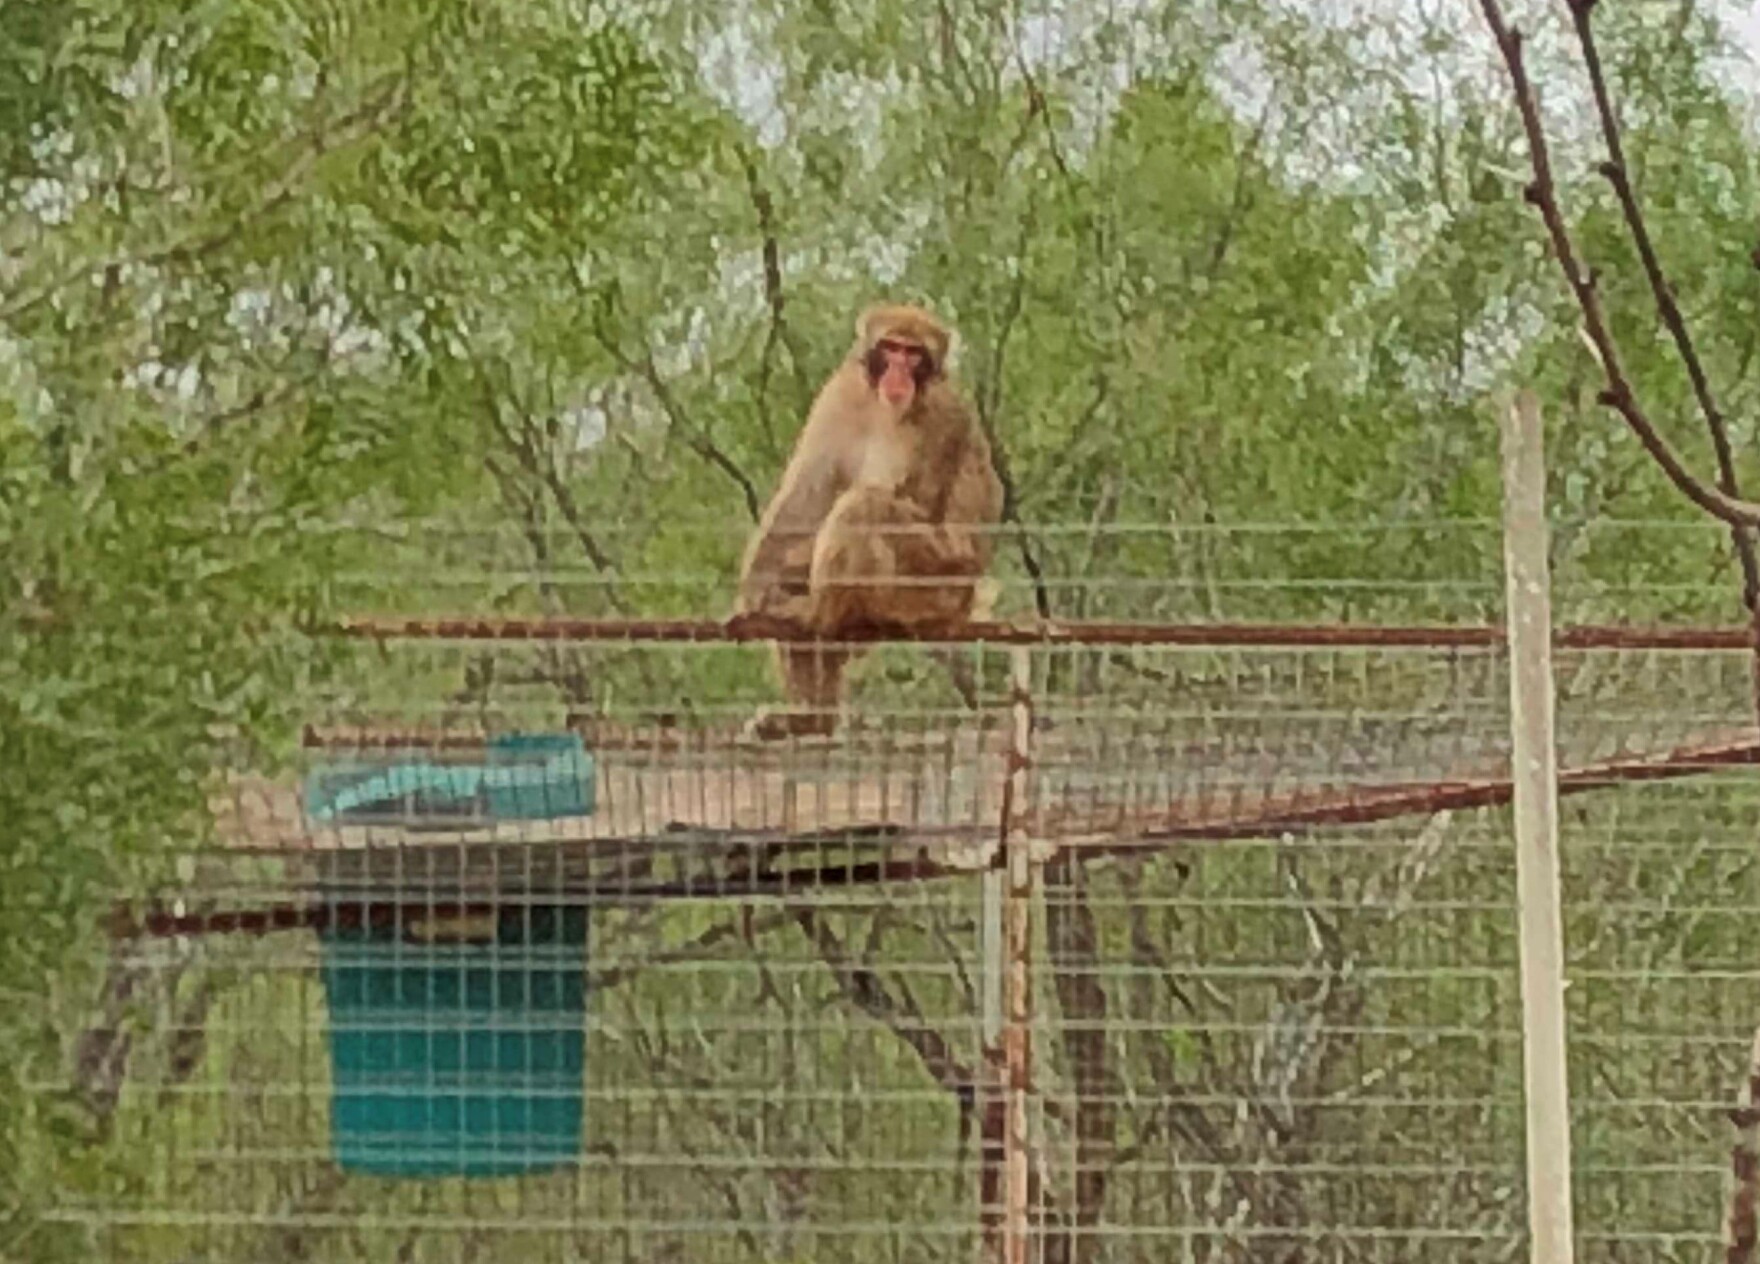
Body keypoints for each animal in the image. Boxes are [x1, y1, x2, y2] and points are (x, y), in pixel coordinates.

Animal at [735, 302, 1005, 739]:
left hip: (937, 586)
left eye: (914, 355)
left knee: (864, 507)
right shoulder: (842, 393)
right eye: (891, 348)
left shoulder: (941, 417)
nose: (898, 373)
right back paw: (811, 719)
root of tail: (967, 600)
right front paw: (758, 583)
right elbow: (810, 484)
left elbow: (904, 494)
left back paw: (816, 611)